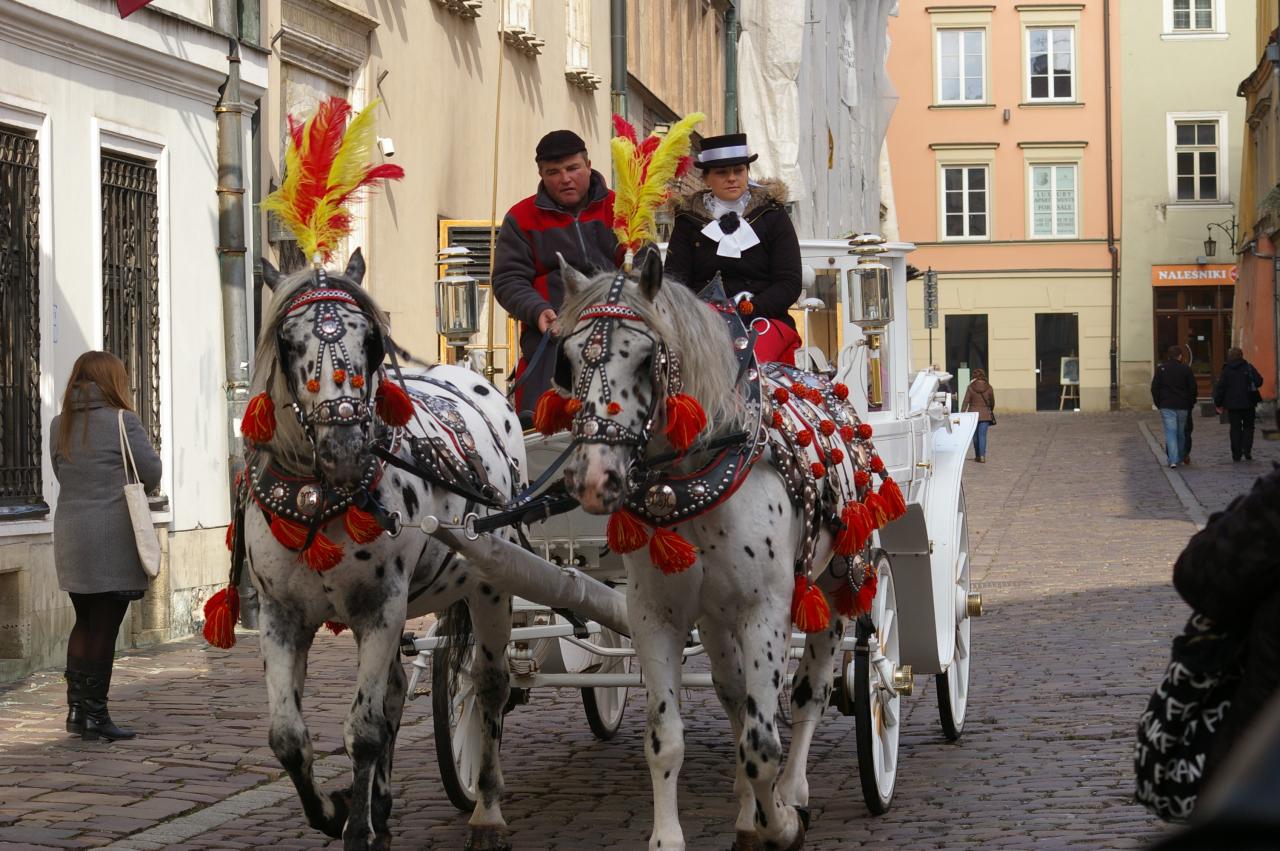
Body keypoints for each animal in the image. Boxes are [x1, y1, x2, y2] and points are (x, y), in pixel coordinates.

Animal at [244, 252, 524, 849]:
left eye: (371, 340)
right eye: (287, 341)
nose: (345, 449)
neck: (319, 495)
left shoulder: (381, 609)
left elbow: (366, 731)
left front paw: (355, 827)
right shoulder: (281, 615)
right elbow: (288, 738)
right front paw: (336, 811)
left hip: (491, 587)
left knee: (490, 687)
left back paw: (487, 810)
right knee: (398, 688)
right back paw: (384, 804)